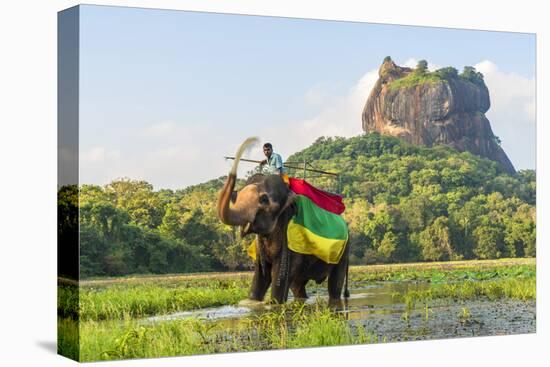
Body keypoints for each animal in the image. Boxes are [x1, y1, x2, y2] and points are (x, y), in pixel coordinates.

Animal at [218, 138, 352, 304]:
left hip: (344, 251)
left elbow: (279, 277)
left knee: (335, 284)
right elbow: (260, 277)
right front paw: (252, 302)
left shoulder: (289, 238)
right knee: (298, 285)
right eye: (235, 196)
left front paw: (274, 304)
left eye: (264, 200)